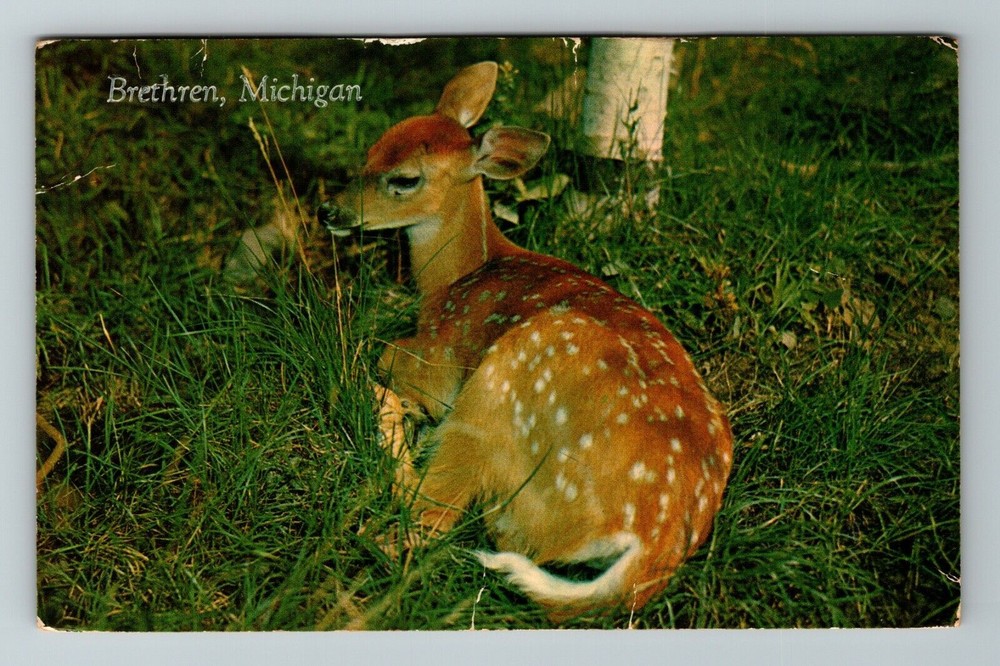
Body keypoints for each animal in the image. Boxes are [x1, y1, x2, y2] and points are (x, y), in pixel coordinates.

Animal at [323, 61, 733, 621]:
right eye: (372, 148)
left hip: (502, 389)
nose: (329, 211)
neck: (455, 277)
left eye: (405, 179)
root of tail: (653, 544)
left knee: (426, 517)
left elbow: (387, 353)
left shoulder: (442, 357)